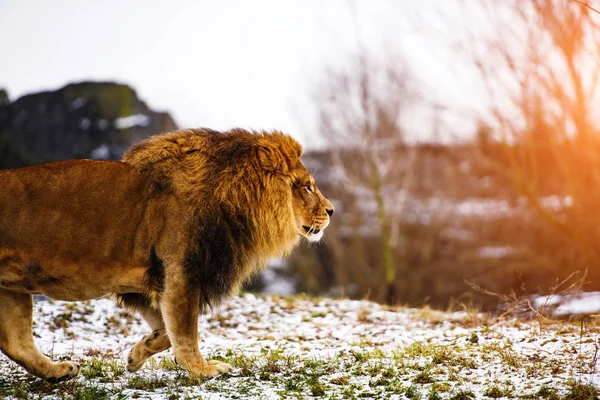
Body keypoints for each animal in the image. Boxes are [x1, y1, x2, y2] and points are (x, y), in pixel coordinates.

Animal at [0, 129, 332, 382]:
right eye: (308, 187)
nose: (331, 211)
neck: (232, 197)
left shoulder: (145, 282)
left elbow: (166, 330)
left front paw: (137, 355)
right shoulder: (181, 272)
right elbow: (185, 331)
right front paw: (202, 369)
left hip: (12, 289)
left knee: (16, 342)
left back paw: (58, 372)